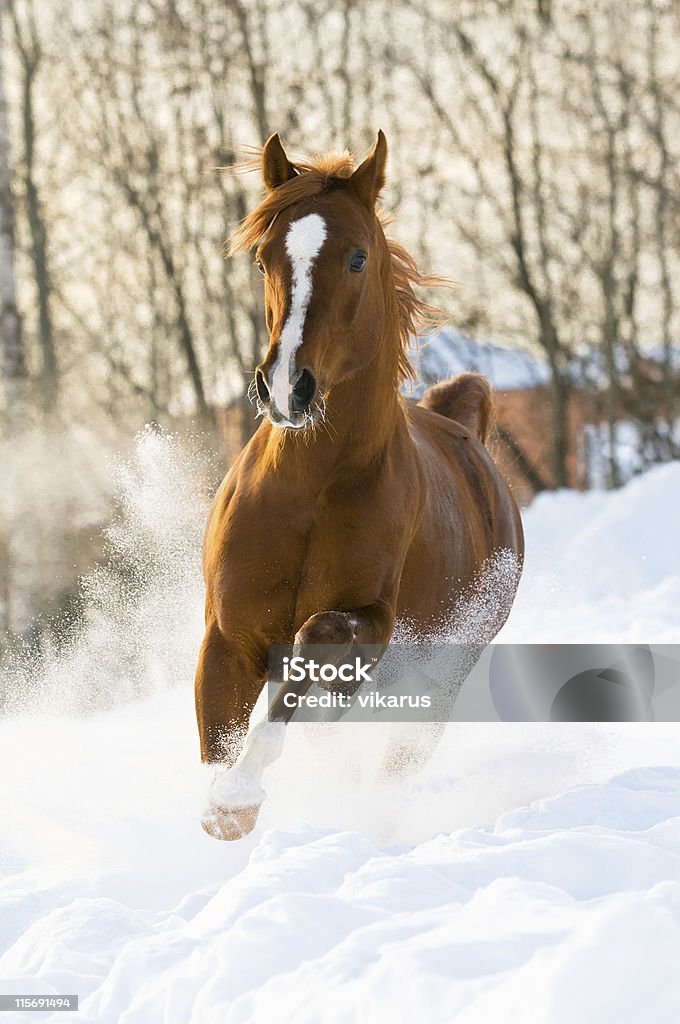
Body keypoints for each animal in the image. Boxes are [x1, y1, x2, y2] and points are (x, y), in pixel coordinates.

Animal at [193, 130, 522, 839]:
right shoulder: (227, 636)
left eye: (357, 257)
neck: (310, 491)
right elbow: (217, 742)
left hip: (441, 680)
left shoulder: (370, 622)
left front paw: (241, 795)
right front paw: (226, 806)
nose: (287, 387)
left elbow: (316, 648)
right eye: (263, 259)